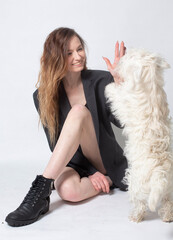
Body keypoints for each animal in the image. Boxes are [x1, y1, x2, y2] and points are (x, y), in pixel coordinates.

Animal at [104, 49, 173, 223]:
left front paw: (109, 86)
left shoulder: (123, 102)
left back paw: (135, 216)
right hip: (169, 188)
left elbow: (116, 93)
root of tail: (160, 173)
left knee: (140, 203)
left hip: (135, 183)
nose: (125, 52)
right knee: (168, 203)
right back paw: (167, 217)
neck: (150, 82)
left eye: (130, 57)